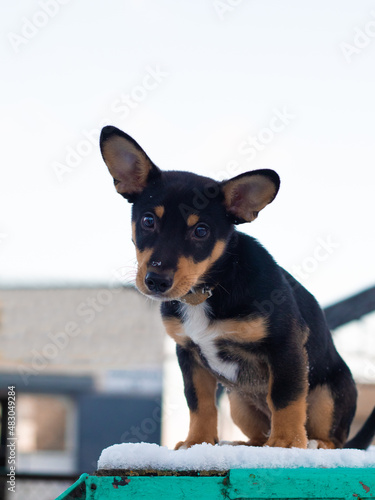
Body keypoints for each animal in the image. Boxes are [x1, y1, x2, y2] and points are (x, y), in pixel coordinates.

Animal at [100, 124, 375, 450]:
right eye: (147, 220)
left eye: (201, 231)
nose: (156, 281)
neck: (209, 288)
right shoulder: (189, 355)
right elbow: (200, 403)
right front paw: (198, 442)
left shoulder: (285, 345)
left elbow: (286, 398)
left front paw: (286, 442)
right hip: (238, 402)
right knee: (258, 432)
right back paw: (245, 444)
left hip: (328, 395)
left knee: (334, 438)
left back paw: (312, 443)